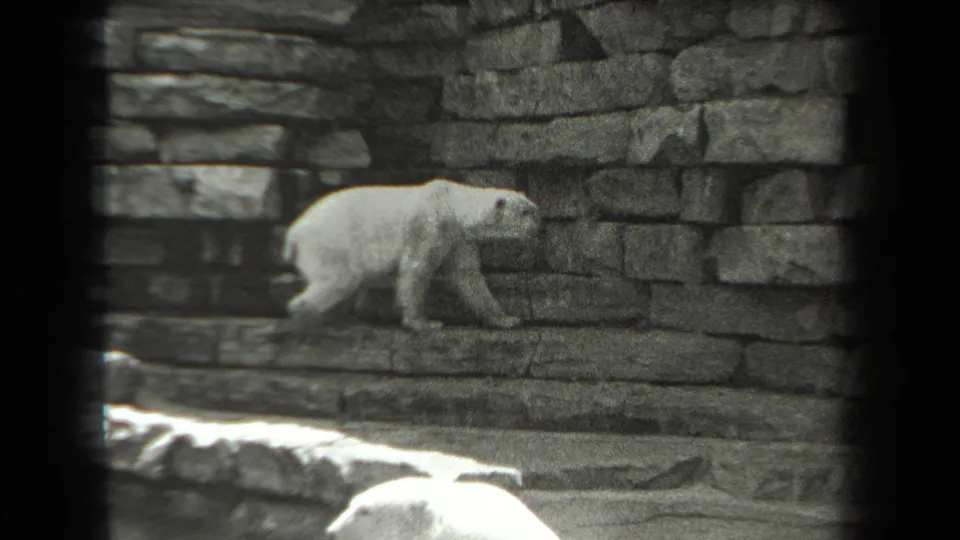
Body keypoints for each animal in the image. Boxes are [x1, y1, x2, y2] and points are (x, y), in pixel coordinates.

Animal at [282, 178, 540, 333]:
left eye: (533, 209)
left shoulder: (456, 238)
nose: (541, 226)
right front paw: (424, 323)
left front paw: (507, 319)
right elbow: (416, 269)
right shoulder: (427, 226)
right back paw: (309, 318)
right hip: (330, 244)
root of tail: (294, 234)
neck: (450, 203)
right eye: (526, 212)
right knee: (340, 279)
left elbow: (468, 276)